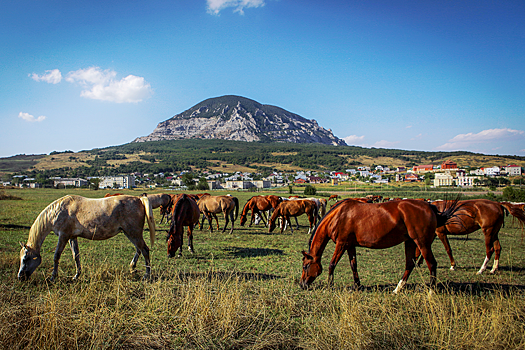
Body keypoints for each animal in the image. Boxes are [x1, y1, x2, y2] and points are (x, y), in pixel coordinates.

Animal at [17, 194, 156, 282]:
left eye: (25, 259)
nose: (20, 277)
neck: (59, 211)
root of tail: (139, 199)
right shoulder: (72, 237)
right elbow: (76, 256)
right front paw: (76, 276)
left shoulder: (63, 236)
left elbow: (56, 256)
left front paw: (52, 277)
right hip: (129, 233)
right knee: (139, 249)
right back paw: (133, 268)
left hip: (133, 233)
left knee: (144, 250)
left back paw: (146, 275)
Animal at [300, 198, 460, 294]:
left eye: (306, 266)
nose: (302, 285)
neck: (338, 216)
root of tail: (430, 207)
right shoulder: (350, 245)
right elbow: (353, 265)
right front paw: (358, 286)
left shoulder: (341, 244)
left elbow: (332, 265)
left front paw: (329, 286)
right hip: (410, 242)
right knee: (410, 264)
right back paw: (397, 289)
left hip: (422, 242)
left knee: (431, 264)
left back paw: (431, 292)